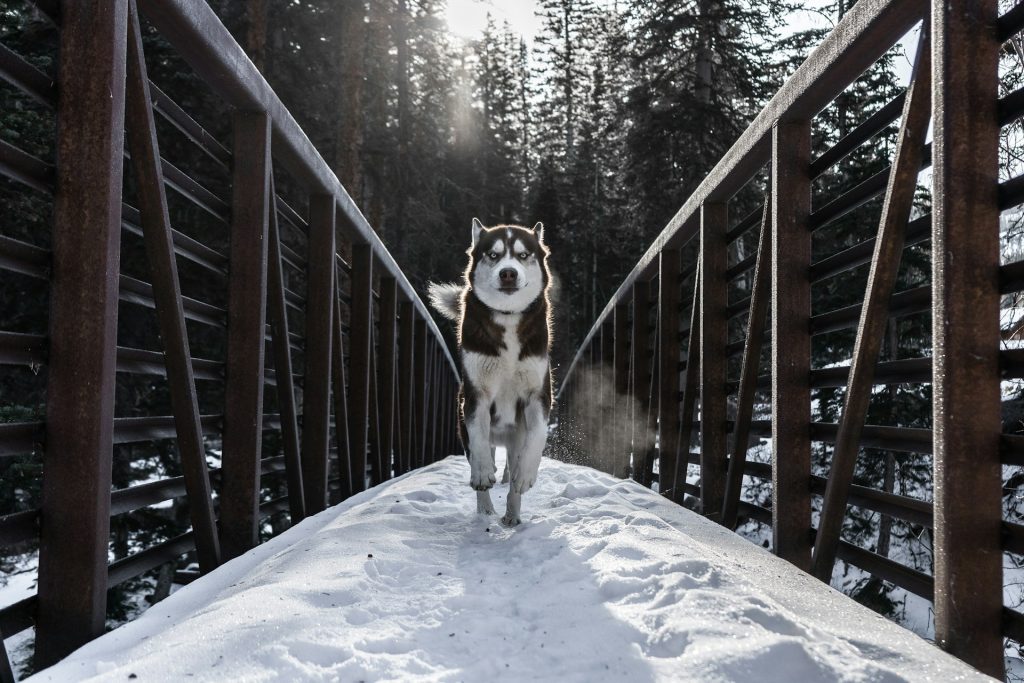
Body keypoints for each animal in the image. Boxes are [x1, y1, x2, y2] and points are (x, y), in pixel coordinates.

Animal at [425, 220, 552, 528]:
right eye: (493, 255)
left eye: (522, 255)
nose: (508, 273)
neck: (507, 318)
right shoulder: (474, 395)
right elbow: (479, 440)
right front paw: (483, 473)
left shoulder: (539, 393)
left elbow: (539, 434)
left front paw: (526, 475)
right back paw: (486, 509)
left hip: (516, 435)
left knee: (514, 471)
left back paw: (512, 513)